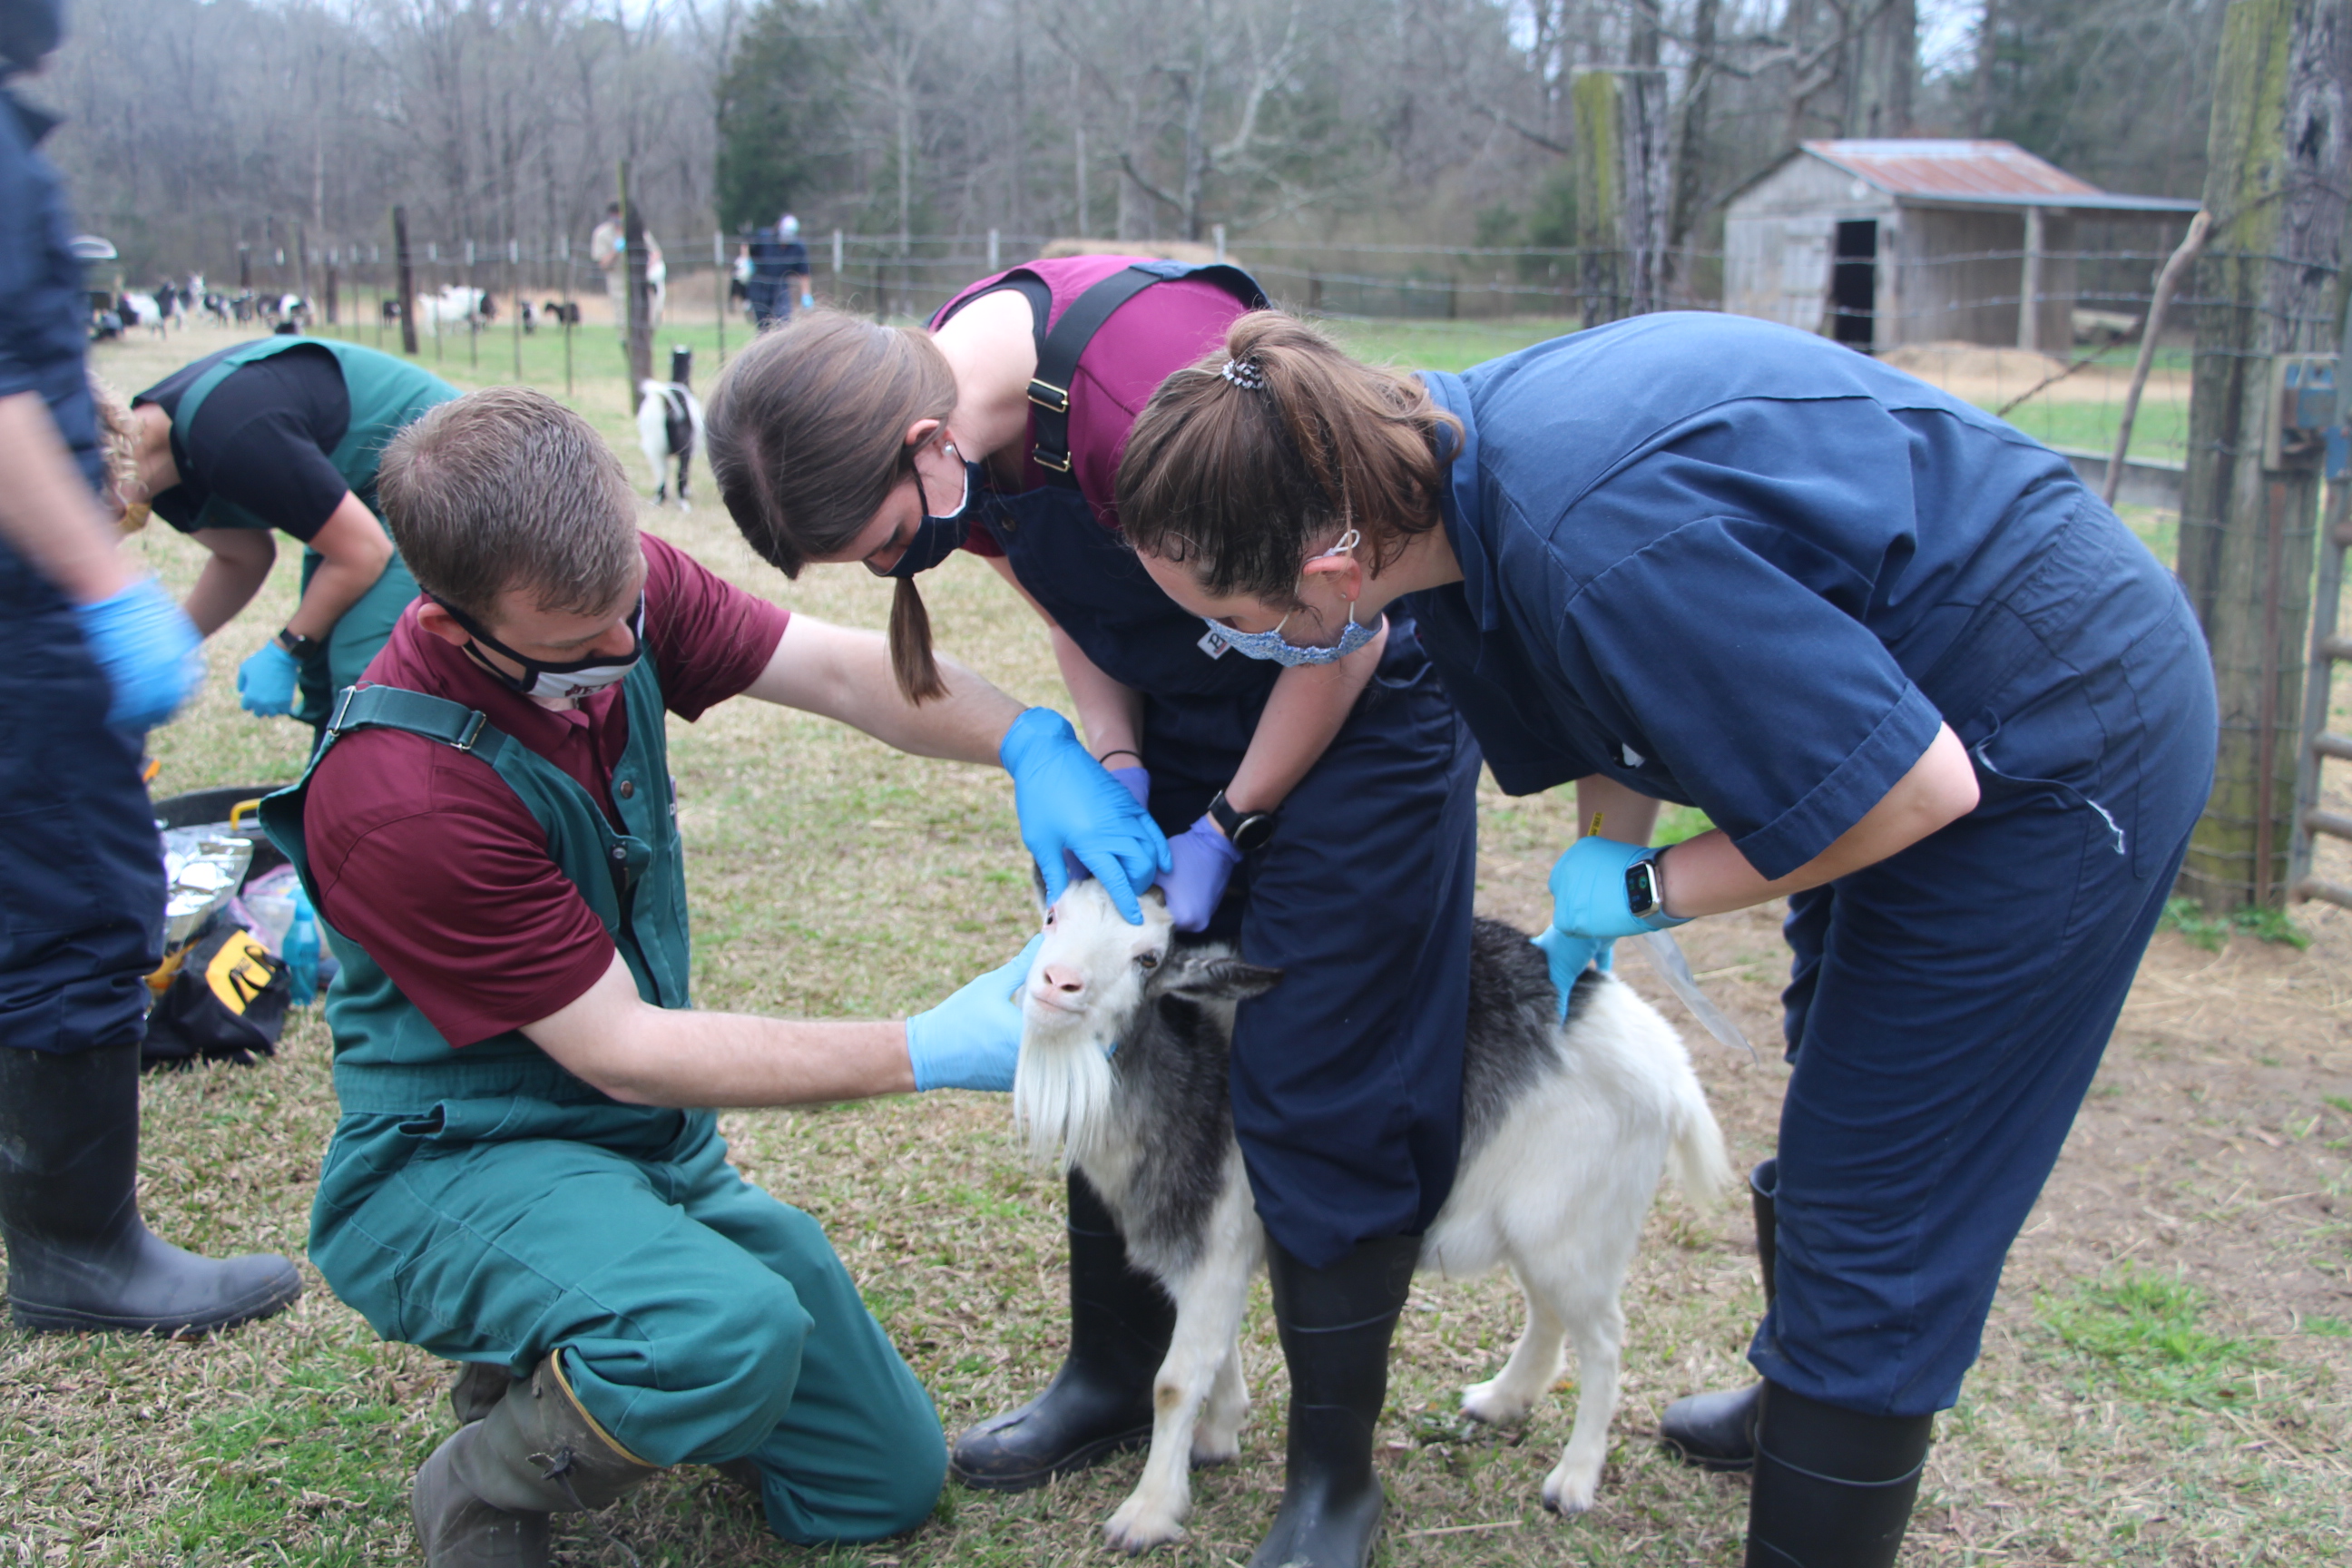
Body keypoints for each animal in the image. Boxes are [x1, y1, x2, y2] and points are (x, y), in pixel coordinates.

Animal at [630, 345, 701, 505]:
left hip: (654, 445)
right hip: (682, 447)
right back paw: (681, 499)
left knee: (661, 471)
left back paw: (659, 498)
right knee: (679, 471)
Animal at [1020, 878, 1740, 1551]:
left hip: (1580, 1228)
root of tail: (1676, 1073)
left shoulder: (1216, 1242)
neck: (1189, 1064)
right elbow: (1215, 1354)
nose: (1058, 983)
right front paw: (1218, 1435)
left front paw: (1145, 1514)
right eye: (1052, 916)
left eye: (1147, 958)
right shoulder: (1200, 1250)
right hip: (1544, 1226)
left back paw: (1573, 1480)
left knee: (1606, 1341)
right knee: (1550, 1314)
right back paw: (1501, 1400)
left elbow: (1174, 1381)